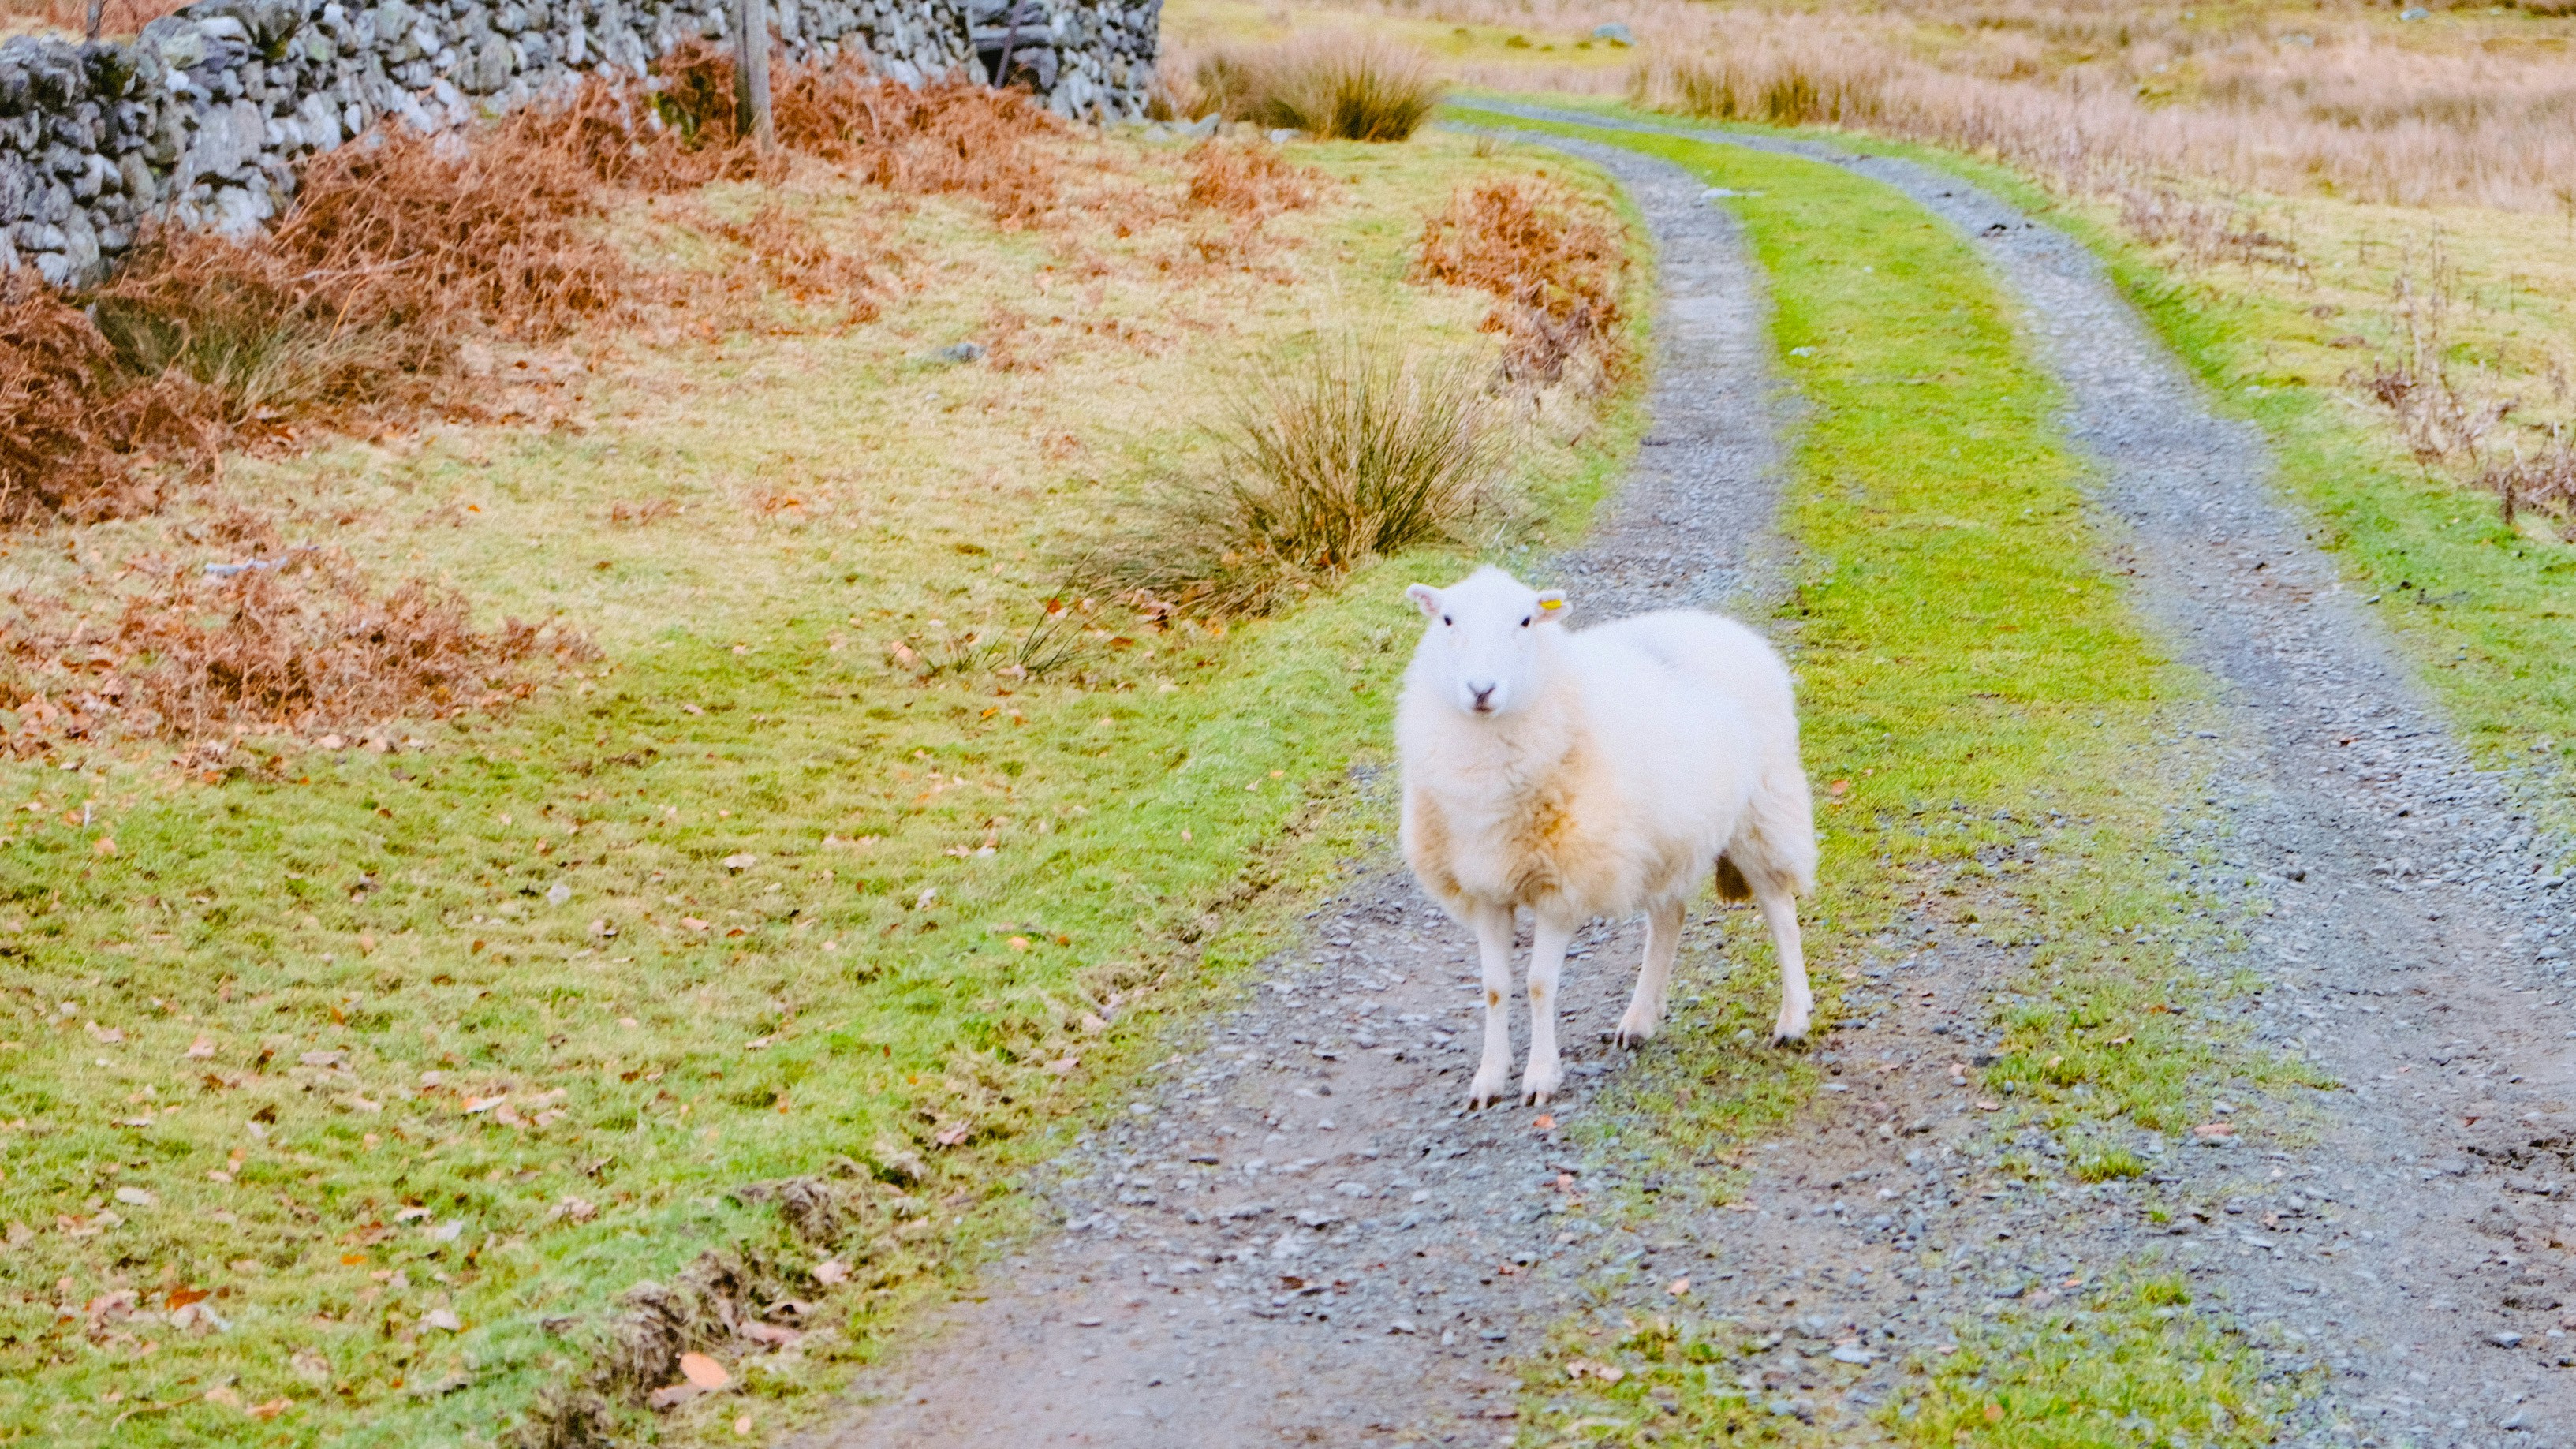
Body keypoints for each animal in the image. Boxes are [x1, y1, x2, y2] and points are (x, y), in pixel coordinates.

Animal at [1394, 565, 1816, 1108]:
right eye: (1447, 620)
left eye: (1526, 621)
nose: (1481, 689)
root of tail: (1716, 625)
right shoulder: (1485, 886)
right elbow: (1494, 986)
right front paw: (1489, 1079)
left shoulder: (1562, 885)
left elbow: (1538, 984)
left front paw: (1540, 1077)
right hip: (1666, 837)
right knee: (1669, 917)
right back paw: (1639, 1021)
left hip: (1762, 807)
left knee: (1779, 909)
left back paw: (1792, 1020)